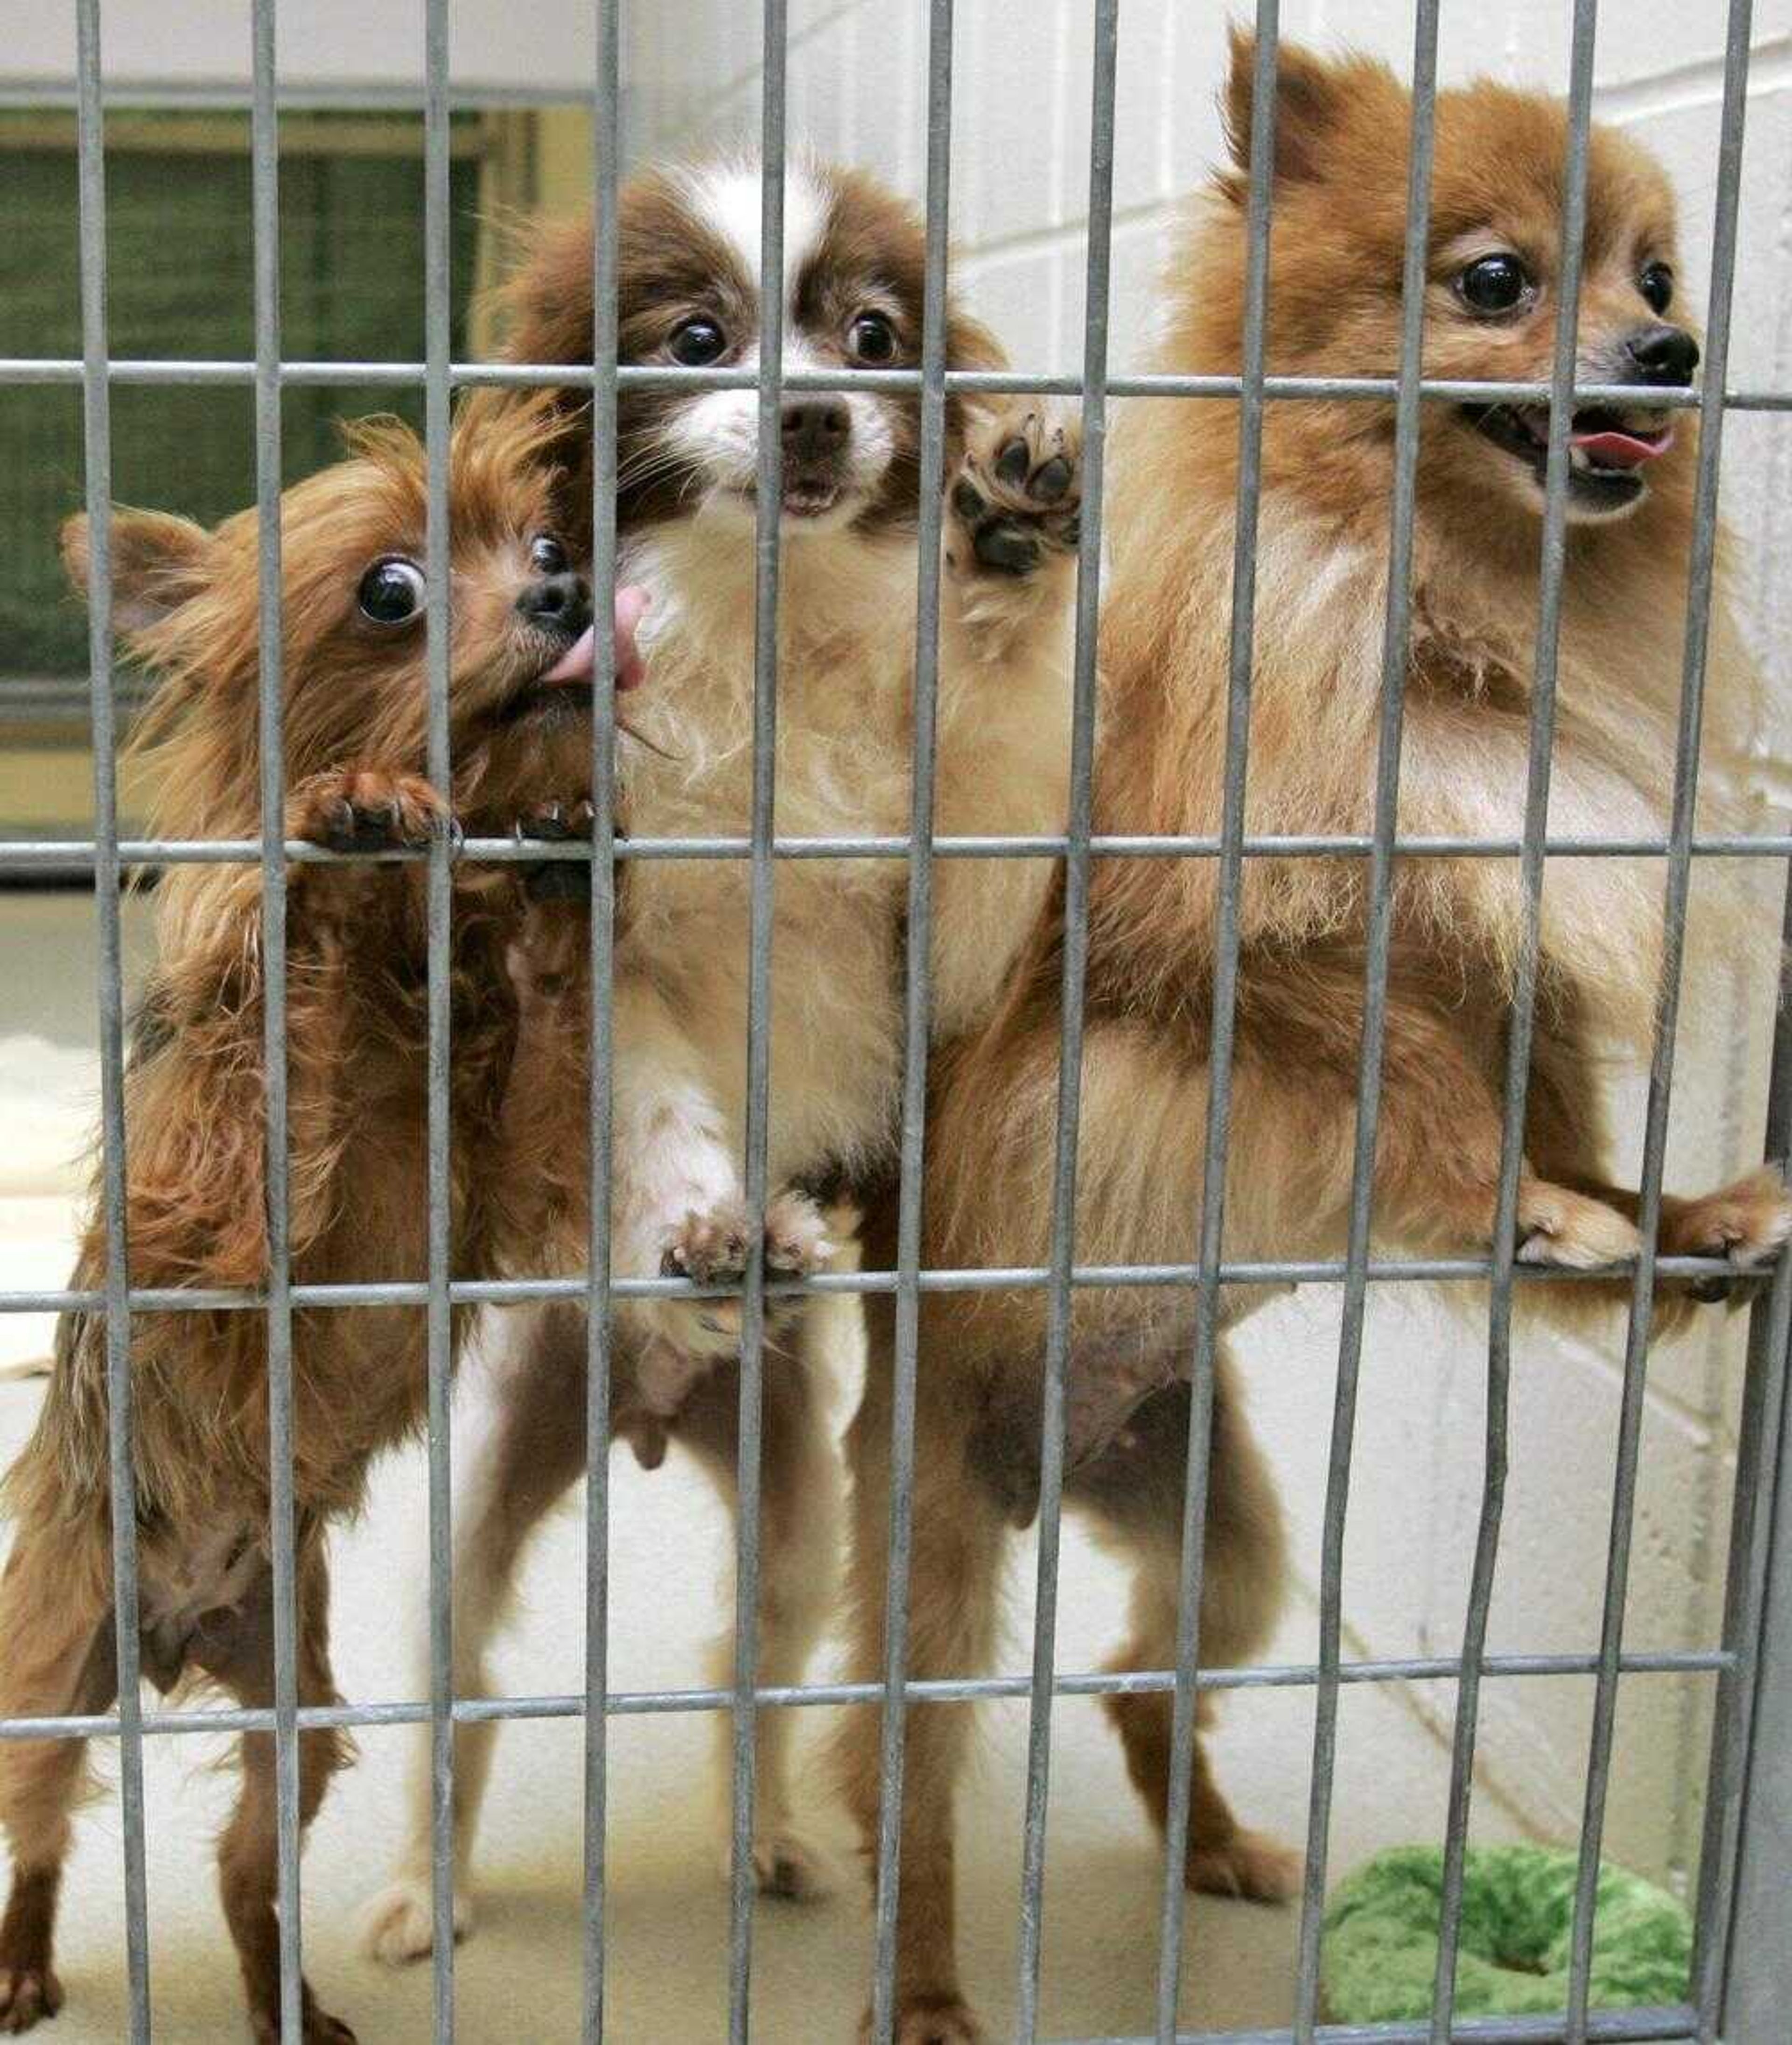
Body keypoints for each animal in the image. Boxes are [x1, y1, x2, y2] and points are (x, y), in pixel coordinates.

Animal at [0, 403, 629, 2045]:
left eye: (548, 542)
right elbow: (290, 1007)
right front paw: (343, 819)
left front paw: (563, 869)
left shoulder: (513, 1177)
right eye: (390, 593)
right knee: (40, 1824)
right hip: (48, 1667)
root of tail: (173, 1635)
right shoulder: (215, 1216)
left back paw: (283, 1993)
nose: (566, 592)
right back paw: (23, 1956)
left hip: (298, 1706)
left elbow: (547, 1030)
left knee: (243, 1870)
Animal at [357, 151, 1078, 1955]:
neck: (770, 634)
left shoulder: (943, 940)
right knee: (456, 1701)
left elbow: (991, 749)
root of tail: (642, 1410)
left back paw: (774, 1844)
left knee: (749, 1677)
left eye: (871, 337)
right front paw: (704, 1224)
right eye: (696, 337)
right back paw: (419, 1890)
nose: (815, 413)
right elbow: (665, 1101)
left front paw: (1011, 539)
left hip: (797, 1510)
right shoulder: (610, 948)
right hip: (472, 1504)